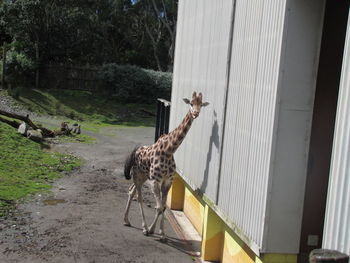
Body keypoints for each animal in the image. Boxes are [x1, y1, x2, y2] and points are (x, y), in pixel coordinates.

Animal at [122, 91, 208, 241]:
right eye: (191, 103)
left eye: (201, 104)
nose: (195, 113)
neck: (169, 150)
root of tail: (135, 151)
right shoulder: (155, 181)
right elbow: (158, 206)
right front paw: (151, 230)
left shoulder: (168, 181)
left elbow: (163, 207)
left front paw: (161, 233)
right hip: (138, 175)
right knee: (138, 196)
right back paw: (143, 228)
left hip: (143, 176)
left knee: (131, 190)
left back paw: (127, 220)